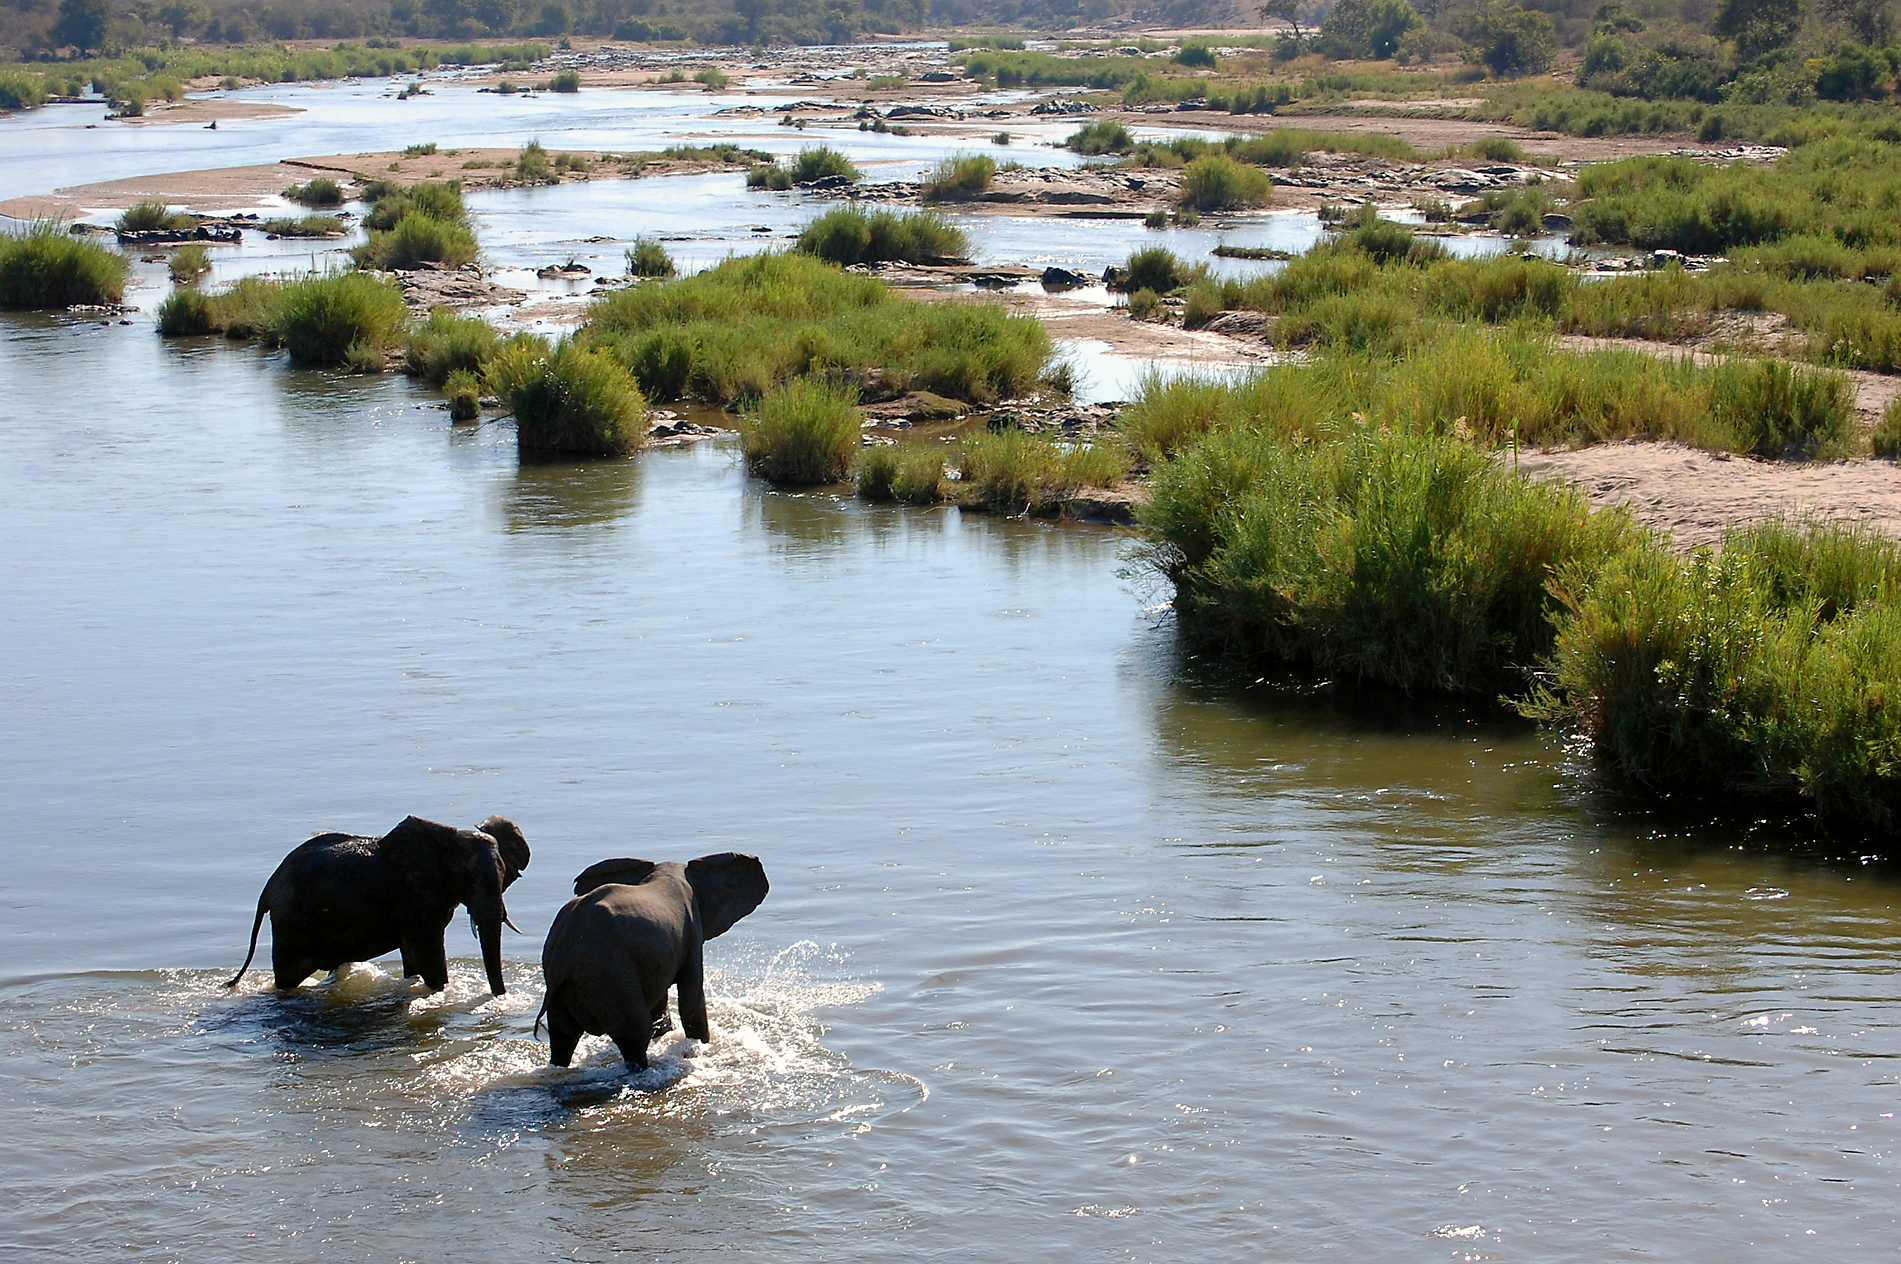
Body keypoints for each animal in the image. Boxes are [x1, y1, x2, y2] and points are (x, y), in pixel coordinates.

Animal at [228, 809, 528, 995]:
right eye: (468, 878)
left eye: (503, 876)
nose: (499, 997)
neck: (450, 840)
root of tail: (266, 891)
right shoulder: (415, 896)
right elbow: (428, 955)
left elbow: (412, 957)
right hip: (292, 922)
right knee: (288, 978)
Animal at [539, 851, 768, 1072]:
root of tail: (563, 949)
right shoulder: (691, 933)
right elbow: (691, 999)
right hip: (610, 977)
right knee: (635, 1033)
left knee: (562, 1038)